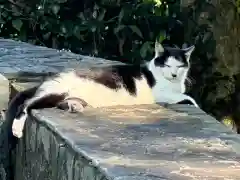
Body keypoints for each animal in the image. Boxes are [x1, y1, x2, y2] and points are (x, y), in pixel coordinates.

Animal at [6, 41, 198, 139]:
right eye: (167, 65)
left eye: (179, 66)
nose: (174, 74)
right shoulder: (161, 94)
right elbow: (189, 98)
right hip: (55, 91)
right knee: (26, 104)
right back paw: (16, 128)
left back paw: (74, 106)